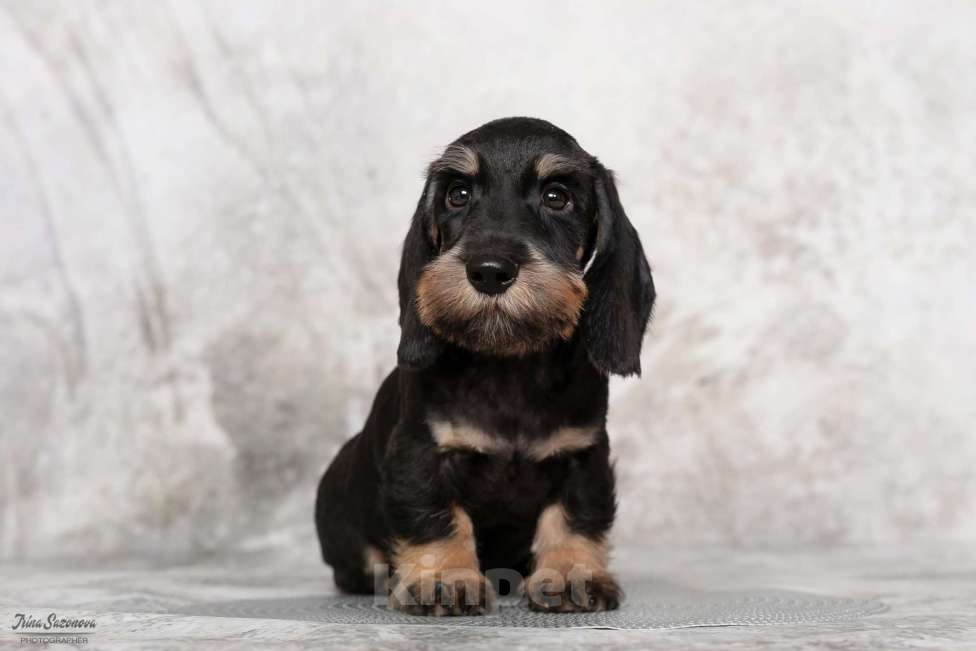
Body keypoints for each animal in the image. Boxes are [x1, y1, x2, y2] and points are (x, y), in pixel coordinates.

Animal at [316, 116, 656, 616]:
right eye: (458, 194)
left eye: (557, 196)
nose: (490, 271)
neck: (508, 364)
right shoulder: (420, 453)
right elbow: (437, 517)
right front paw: (444, 579)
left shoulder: (583, 456)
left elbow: (574, 517)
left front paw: (572, 574)